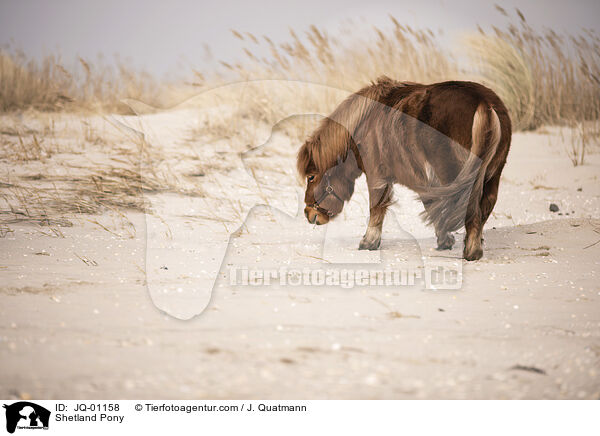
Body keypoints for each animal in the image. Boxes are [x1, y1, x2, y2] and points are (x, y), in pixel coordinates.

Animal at [296, 76, 510, 260]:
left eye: (311, 177)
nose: (308, 214)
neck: (365, 123)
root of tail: (484, 103)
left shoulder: (377, 177)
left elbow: (377, 209)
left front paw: (368, 243)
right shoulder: (425, 180)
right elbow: (432, 206)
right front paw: (445, 240)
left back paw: (471, 252)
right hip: (491, 176)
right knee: (484, 208)